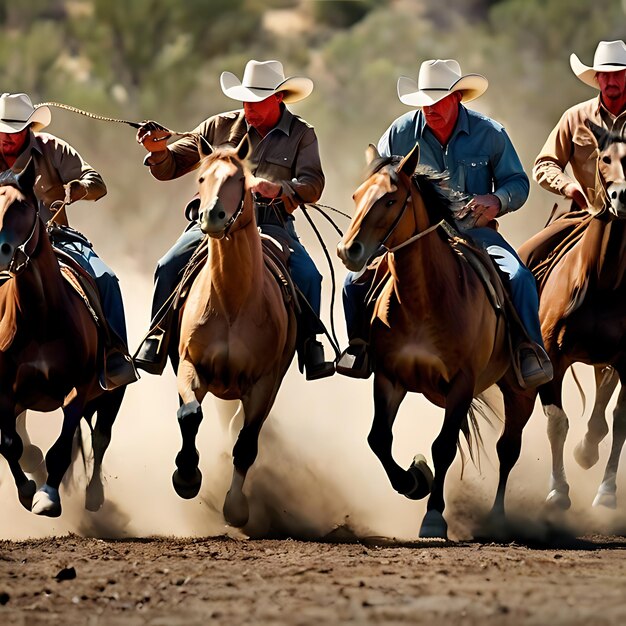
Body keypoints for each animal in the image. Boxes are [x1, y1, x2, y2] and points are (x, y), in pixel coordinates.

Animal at [0, 163, 125, 516]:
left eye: (22, 205)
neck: (41, 318)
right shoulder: (5, 393)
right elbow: (10, 444)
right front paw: (27, 490)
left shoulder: (79, 388)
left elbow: (63, 447)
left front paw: (47, 497)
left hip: (111, 394)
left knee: (101, 437)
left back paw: (94, 495)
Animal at [171, 136, 298, 528]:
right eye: (201, 178)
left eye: (239, 180)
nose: (212, 215)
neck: (231, 302)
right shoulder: (190, 364)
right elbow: (189, 414)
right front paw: (186, 476)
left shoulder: (264, 383)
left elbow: (246, 444)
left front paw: (236, 507)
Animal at [334, 145, 532, 536]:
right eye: (357, 196)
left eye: (391, 199)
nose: (349, 250)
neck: (423, 300)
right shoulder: (389, 378)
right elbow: (379, 439)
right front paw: (414, 480)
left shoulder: (462, 382)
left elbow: (443, 447)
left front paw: (433, 516)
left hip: (521, 391)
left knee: (508, 449)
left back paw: (497, 518)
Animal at [516, 119, 624, 510]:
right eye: (604, 157)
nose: (621, 196)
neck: (602, 280)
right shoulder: (554, 356)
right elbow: (557, 422)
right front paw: (558, 490)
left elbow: (620, 420)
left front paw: (607, 492)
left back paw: (588, 450)